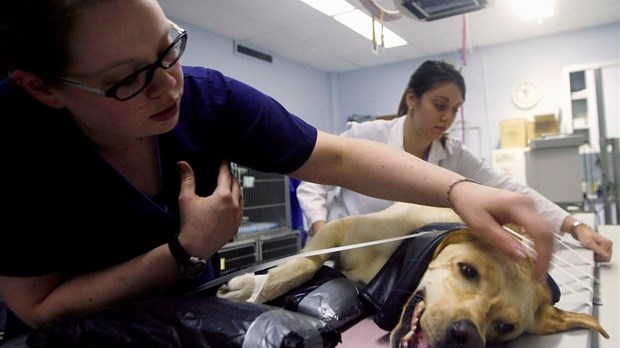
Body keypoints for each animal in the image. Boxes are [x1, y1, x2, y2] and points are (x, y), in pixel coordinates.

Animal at [216, 203, 608, 346]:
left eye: (504, 327)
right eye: (467, 270)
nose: (465, 336)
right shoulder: (338, 230)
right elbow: (304, 264)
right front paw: (251, 287)